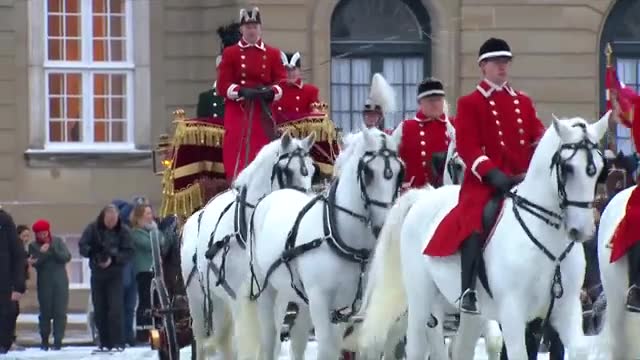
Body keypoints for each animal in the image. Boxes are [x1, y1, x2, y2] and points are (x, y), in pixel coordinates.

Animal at [179, 130, 316, 360]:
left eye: (312, 170)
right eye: (287, 171)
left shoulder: (276, 297)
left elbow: (270, 343)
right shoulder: (239, 298)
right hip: (200, 301)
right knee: (205, 342)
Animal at [238, 128, 402, 358]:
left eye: (398, 172)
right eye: (368, 172)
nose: (383, 226)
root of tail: (273, 195)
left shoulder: (348, 308)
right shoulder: (319, 299)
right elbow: (326, 349)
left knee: (297, 339)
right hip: (266, 287)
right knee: (270, 336)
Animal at [360, 113, 608, 360]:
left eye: (598, 169)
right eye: (568, 168)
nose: (581, 230)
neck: (547, 240)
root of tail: (423, 197)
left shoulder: (566, 310)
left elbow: (578, 349)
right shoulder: (512, 312)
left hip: (467, 313)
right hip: (421, 299)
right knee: (417, 345)